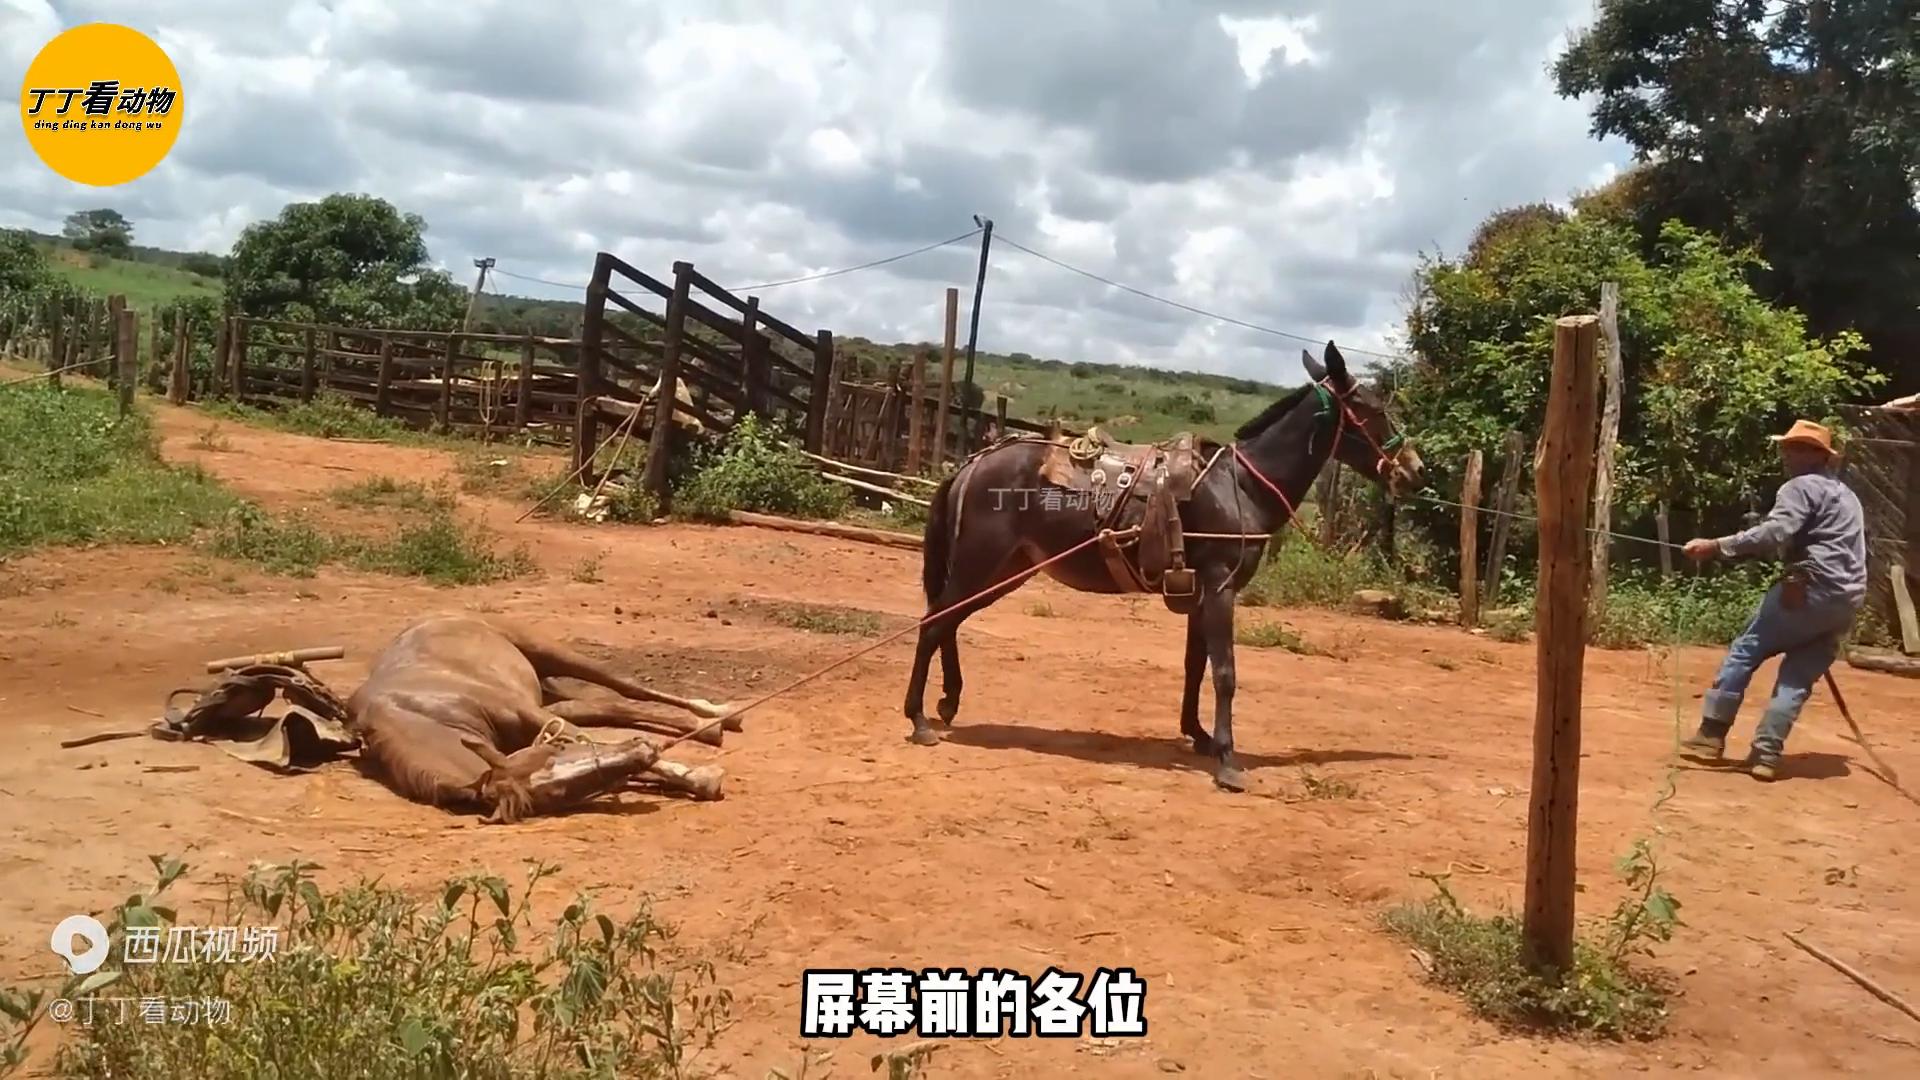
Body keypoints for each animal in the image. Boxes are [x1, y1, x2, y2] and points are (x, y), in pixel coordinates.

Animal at [900, 341, 1424, 791]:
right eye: (1374, 408)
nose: (1415, 470)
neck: (1241, 487)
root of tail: (971, 463)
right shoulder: (1220, 586)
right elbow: (1225, 671)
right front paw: (1228, 761)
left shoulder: (1199, 590)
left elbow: (1196, 664)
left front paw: (1199, 735)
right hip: (981, 562)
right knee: (933, 623)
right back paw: (920, 718)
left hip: (1004, 569)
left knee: (950, 621)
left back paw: (948, 702)